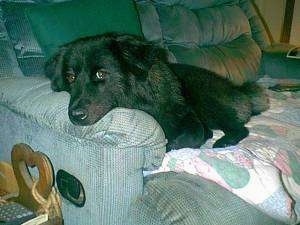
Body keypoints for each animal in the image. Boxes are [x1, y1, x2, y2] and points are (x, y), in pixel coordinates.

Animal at [45, 32, 270, 150]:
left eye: (101, 74)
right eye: (70, 77)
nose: (75, 115)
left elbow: (194, 134)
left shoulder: (188, 116)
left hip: (206, 101)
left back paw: (223, 141)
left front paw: (173, 144)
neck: (140, 100)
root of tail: (239, 89)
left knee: (241, 129)